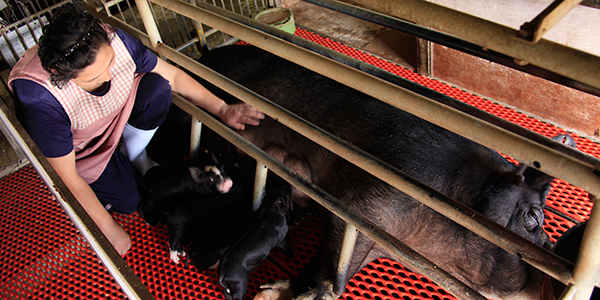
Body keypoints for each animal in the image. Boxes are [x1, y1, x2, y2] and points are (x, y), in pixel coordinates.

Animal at [199, 44, 560, 300]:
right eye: (533, 218)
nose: (550, 289)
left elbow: (337, 268)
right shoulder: (365, 204)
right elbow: (330, 268)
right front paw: (269, 294)